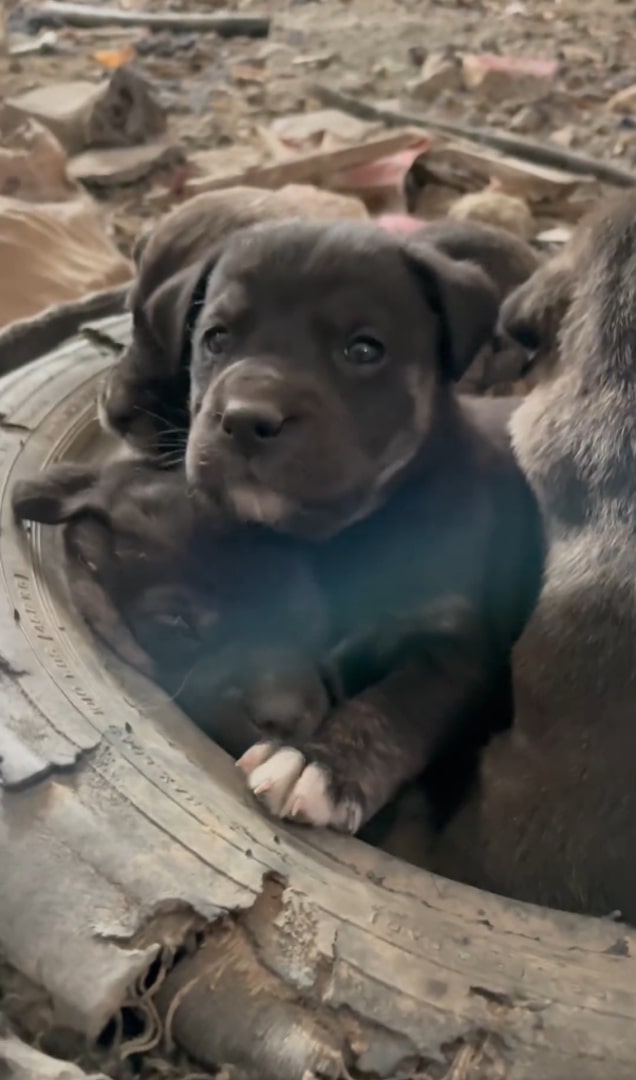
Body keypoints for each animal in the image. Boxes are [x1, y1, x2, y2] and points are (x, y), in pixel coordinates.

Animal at [181, 219, 544, 838]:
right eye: (216, 339)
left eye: (363, 349)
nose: (246, 419)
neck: (343, 538)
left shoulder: (457, 650)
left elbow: (392, 707)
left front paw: (317, 765)